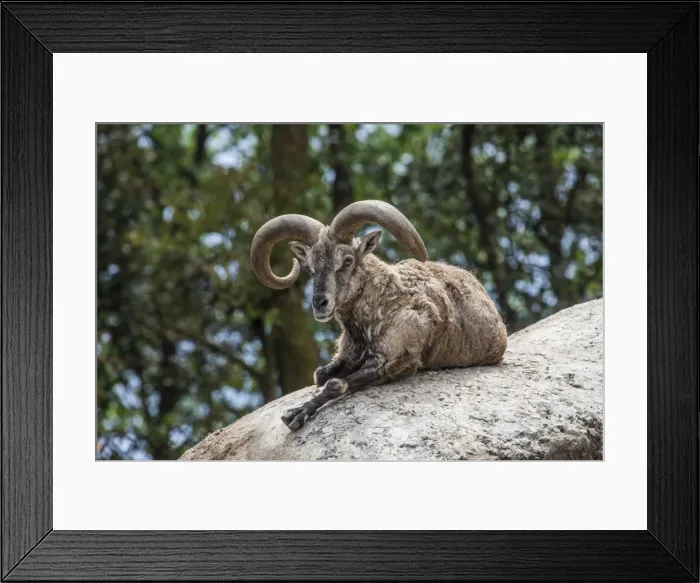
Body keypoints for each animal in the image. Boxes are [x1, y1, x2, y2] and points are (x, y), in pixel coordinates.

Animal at [250, 200, 507, 431]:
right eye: (309, 267)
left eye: (347, 260)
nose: (320, 303)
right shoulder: (347, 357)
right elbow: (320, 376)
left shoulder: (392, 362)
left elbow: (334, 384)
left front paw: (297, 413)